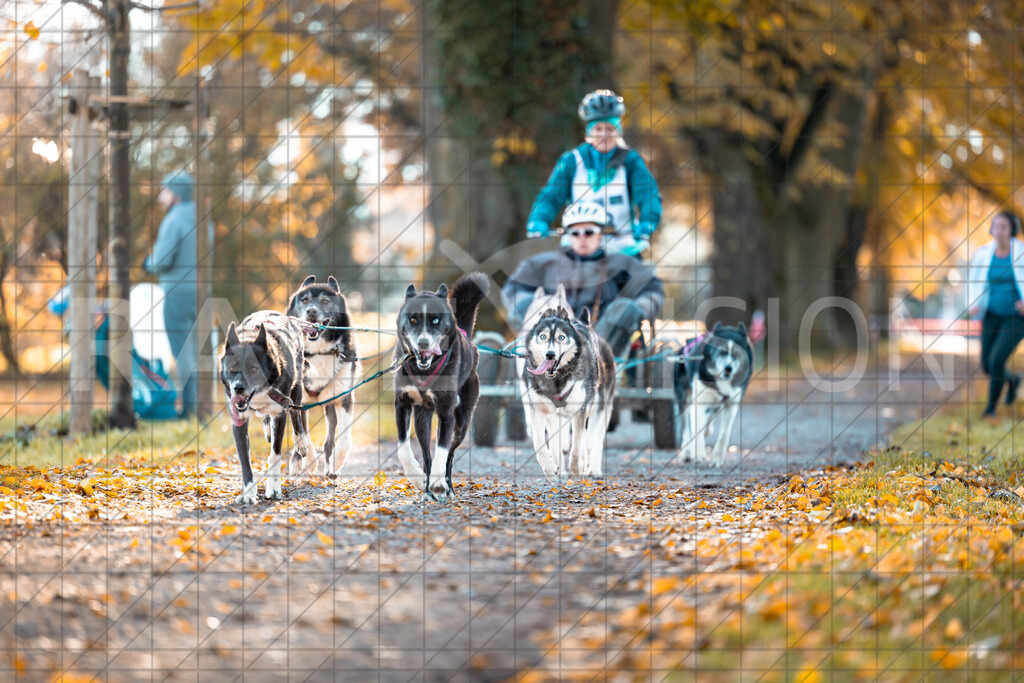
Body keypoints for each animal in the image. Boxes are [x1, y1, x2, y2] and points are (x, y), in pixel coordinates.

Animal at [223, 311, 315, 501]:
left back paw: (301, 442)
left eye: (254, 368)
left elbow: (275, 456)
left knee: (296, 416)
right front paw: (248, 494)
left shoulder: (280, 414)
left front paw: (273, 489)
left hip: (296, 389)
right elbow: (245, 462)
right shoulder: (239, 422)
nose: (238, 388)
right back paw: (267, 429)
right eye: (232, 368)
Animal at [288, 274, 360, 479]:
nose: (311, 311)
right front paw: (307, 461)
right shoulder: (299, 400)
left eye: (325, 301)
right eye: (304, 300)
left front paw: (336, 463)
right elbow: (303, 434)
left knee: (330, 440)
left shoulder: (344, 398)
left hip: (330, 405)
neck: (318, 352)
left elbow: (344, 440)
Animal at [520, 307, 614, 479]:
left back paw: (593, 469)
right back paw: (560, 470)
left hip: (601, 410)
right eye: (543, 336)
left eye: (561, 337)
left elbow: (577, 445)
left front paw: (577, 467)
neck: (557, 379)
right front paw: (549, 467)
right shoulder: (537, 410)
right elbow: (539, 443)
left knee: (595, 441)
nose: (550, 354)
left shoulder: (580, 410)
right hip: (556, 417)